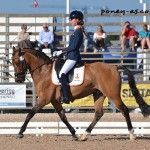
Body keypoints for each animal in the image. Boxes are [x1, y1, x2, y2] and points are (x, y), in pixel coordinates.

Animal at [12, 47, 150, 141]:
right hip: (99, 94)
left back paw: (132, 134)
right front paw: (74, 134)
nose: (18, 79)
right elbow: (63, 117)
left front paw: (20, 132)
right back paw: (84, 135)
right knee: (98, 114)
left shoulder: (44, 100)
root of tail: (114, 67)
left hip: (113, 95)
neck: (44, 71)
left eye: (17, 63)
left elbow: (30, 114)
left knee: (124, 110)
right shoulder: (54, 101)